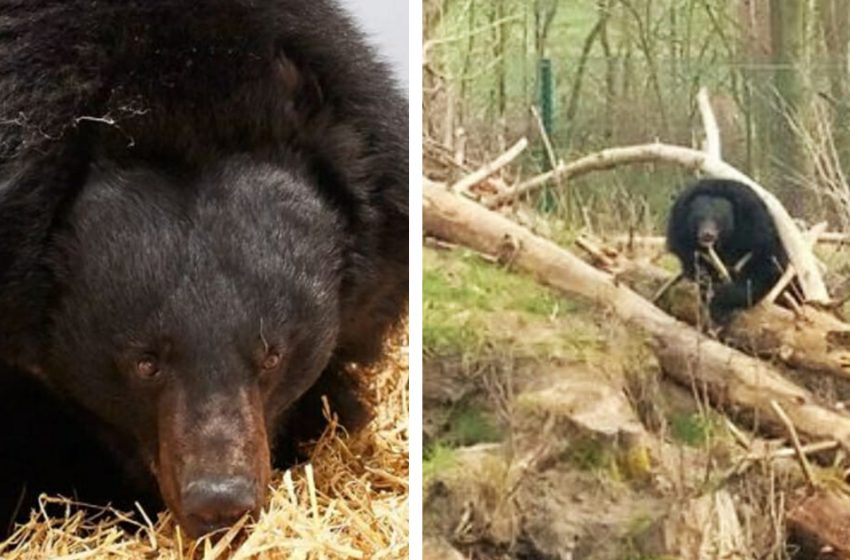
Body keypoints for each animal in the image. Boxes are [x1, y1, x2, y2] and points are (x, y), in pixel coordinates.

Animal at [664, 177, 784, 322]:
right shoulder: (681, 236)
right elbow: (694, 264)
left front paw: (721, 299)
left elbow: (763, 270)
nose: (707, 235)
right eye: (699, 218)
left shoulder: (758, 232)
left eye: (718, 219)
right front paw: (706, 283)